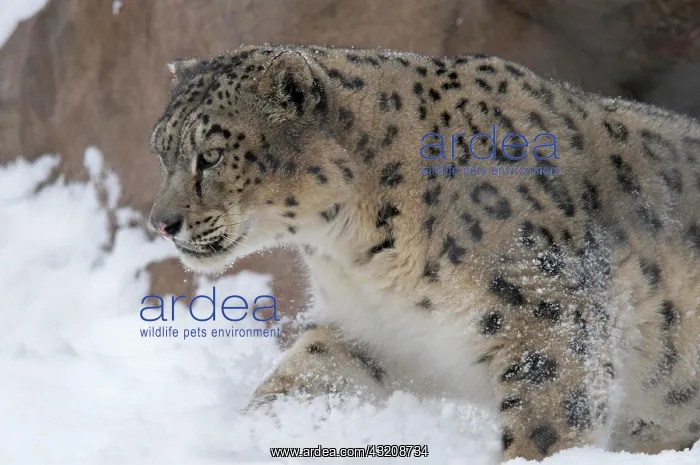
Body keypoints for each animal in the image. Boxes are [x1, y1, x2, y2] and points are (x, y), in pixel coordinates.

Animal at [147, 44, 700, 462]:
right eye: (161, 152)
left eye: (211, 155)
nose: (162, 223)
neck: (355, 251)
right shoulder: (364, 329)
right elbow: (300, 378)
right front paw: (252, 434)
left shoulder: (546, 313)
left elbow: (548, 419)